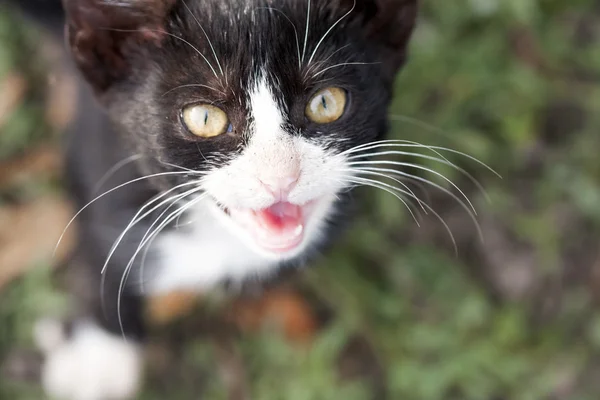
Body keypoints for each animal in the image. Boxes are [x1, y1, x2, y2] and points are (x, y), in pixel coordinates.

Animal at [5, 0, 418, 398]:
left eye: (326, 102)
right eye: (204, 118)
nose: (280, 177)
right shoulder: (100, 156)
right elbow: (100, 242)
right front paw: (100, 354)